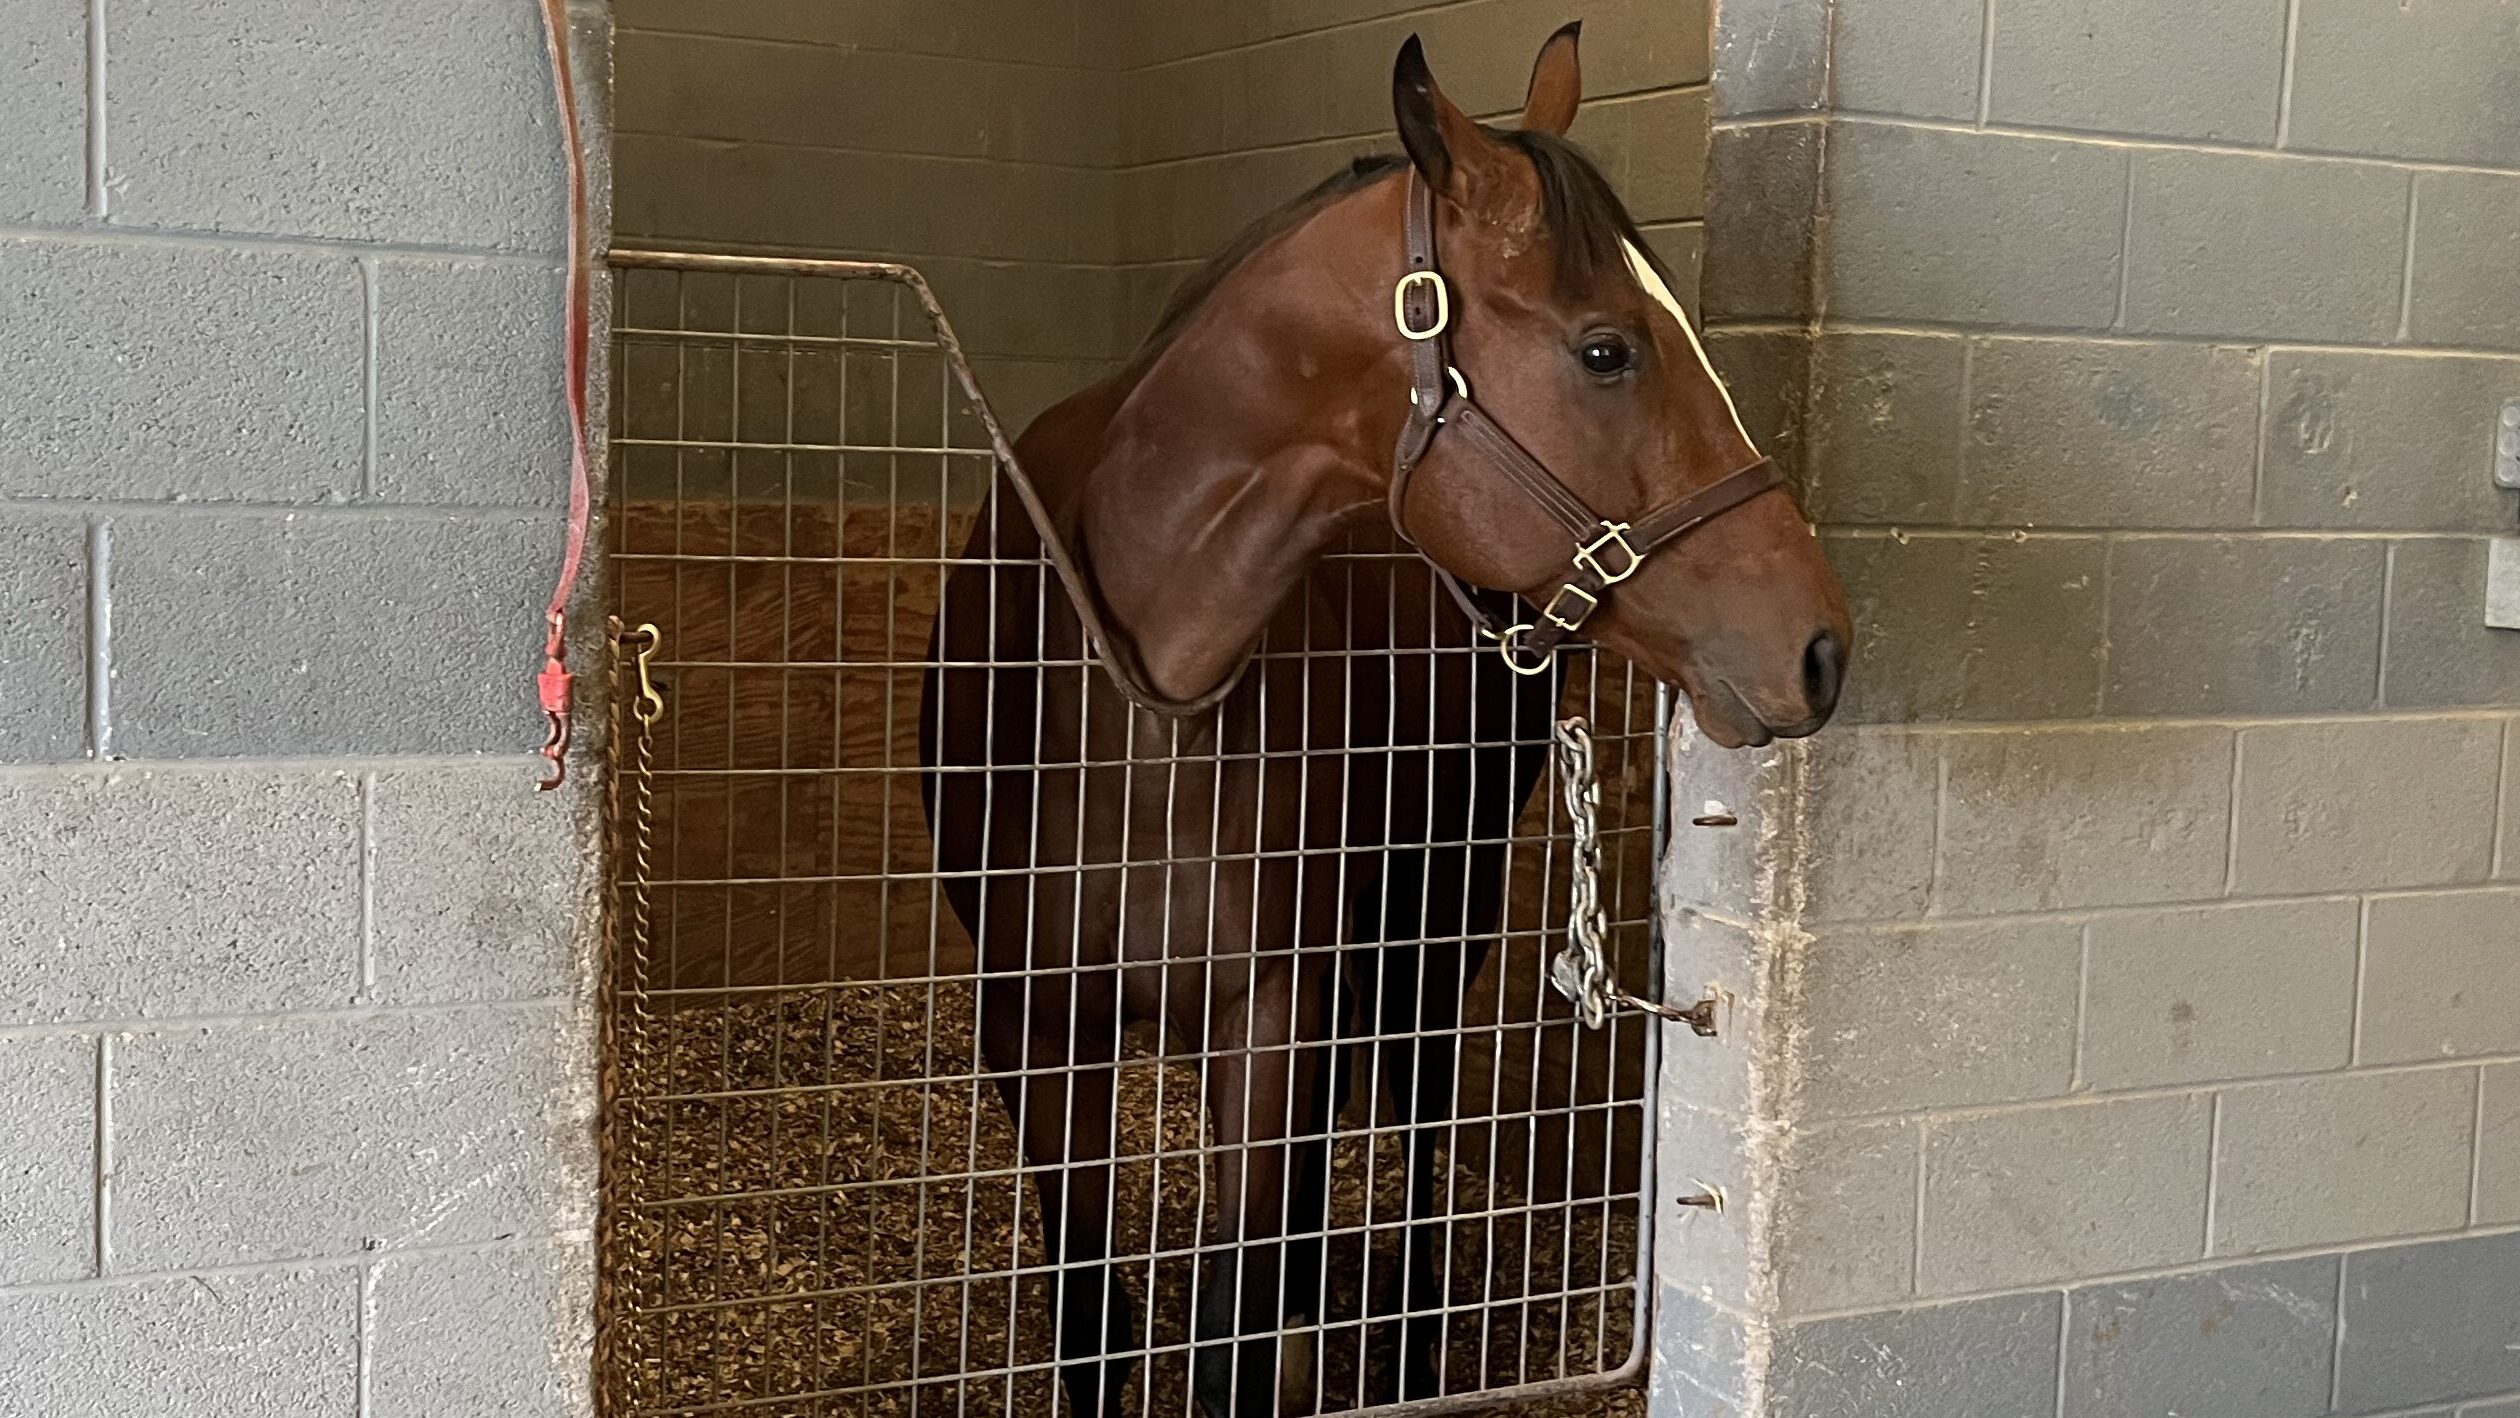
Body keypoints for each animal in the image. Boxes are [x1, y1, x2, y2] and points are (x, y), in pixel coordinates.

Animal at [922, 24, 1850, 1416]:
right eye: (1608, 349)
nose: (1821, 646)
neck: (1141, 699)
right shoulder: (1036, 1027)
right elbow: (1095, 1312)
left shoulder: (1270, 1009)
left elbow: (1231, 1321)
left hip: (1433, 916)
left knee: (1413, 1124)